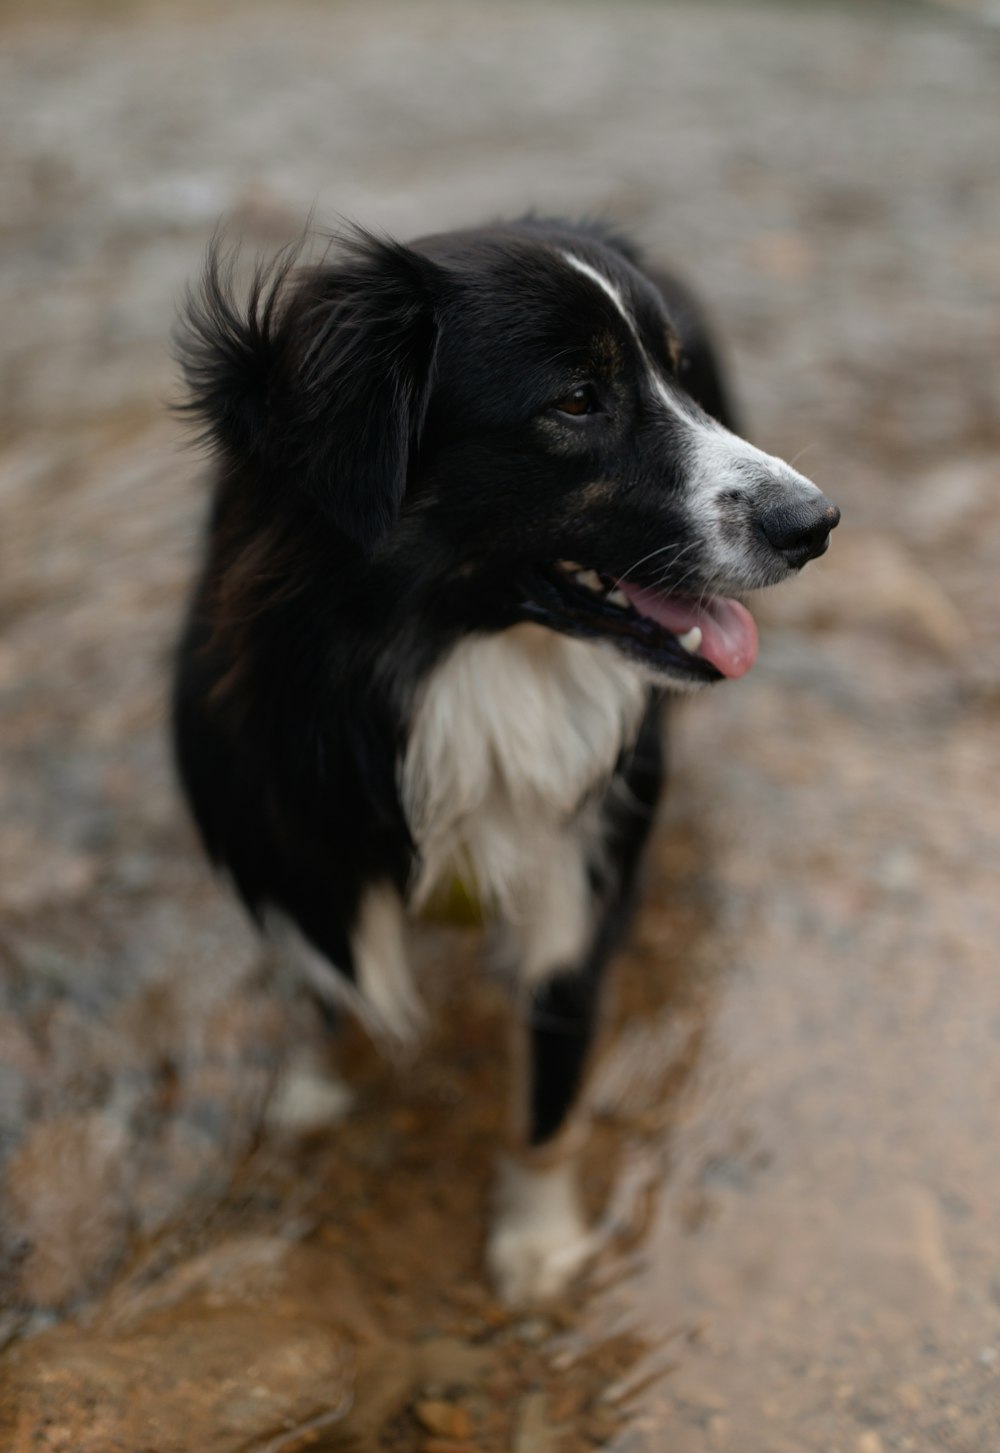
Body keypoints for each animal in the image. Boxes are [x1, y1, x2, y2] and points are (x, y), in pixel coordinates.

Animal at [171, 217, 837, 1307]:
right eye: (574, 399)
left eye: (678, 374)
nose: (816, 524)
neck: (451, 668)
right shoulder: (286, 821)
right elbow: (334, 989)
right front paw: (316, 1096)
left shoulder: (581, 864)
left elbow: (548, 1100)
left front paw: (537, 1247)